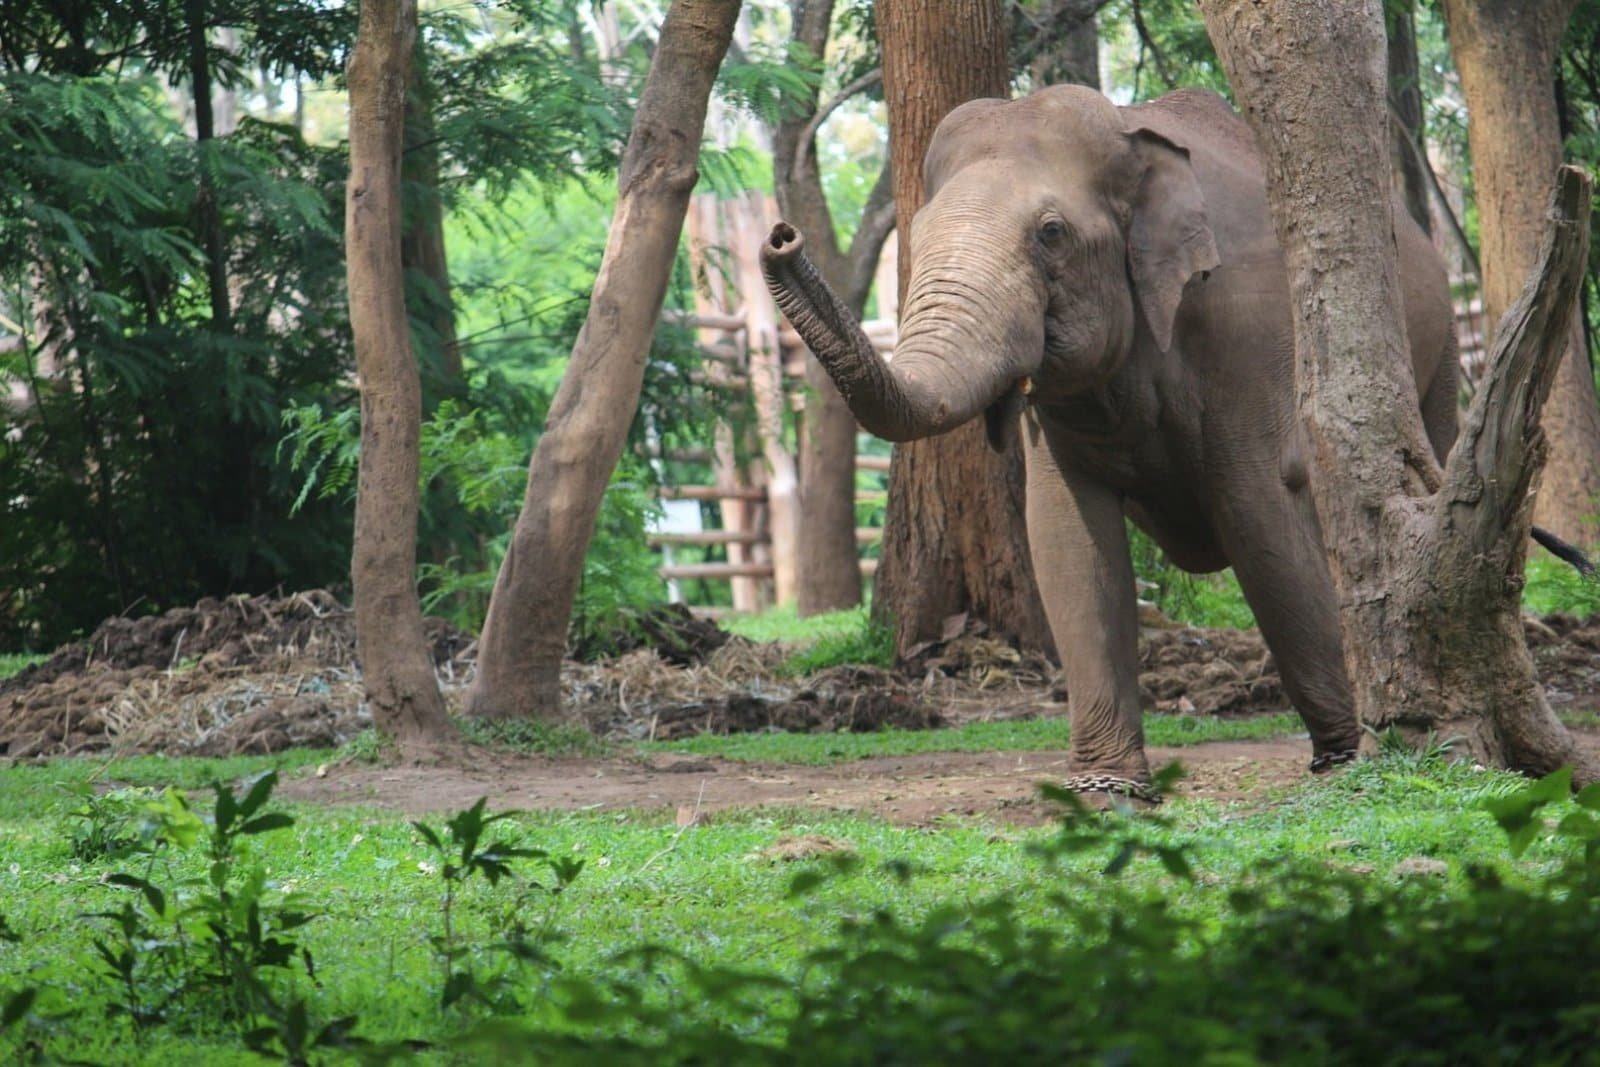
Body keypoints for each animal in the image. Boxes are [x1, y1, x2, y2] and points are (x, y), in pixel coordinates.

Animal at [761, 84, 1463, 801]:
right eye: (919, 231)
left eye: (1051, 233)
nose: (782, 235)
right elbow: (1066, 538)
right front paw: (1107, 794)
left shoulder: (1250, 335)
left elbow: (1259, 513)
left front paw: (1349, 758)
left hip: (1436, 352)